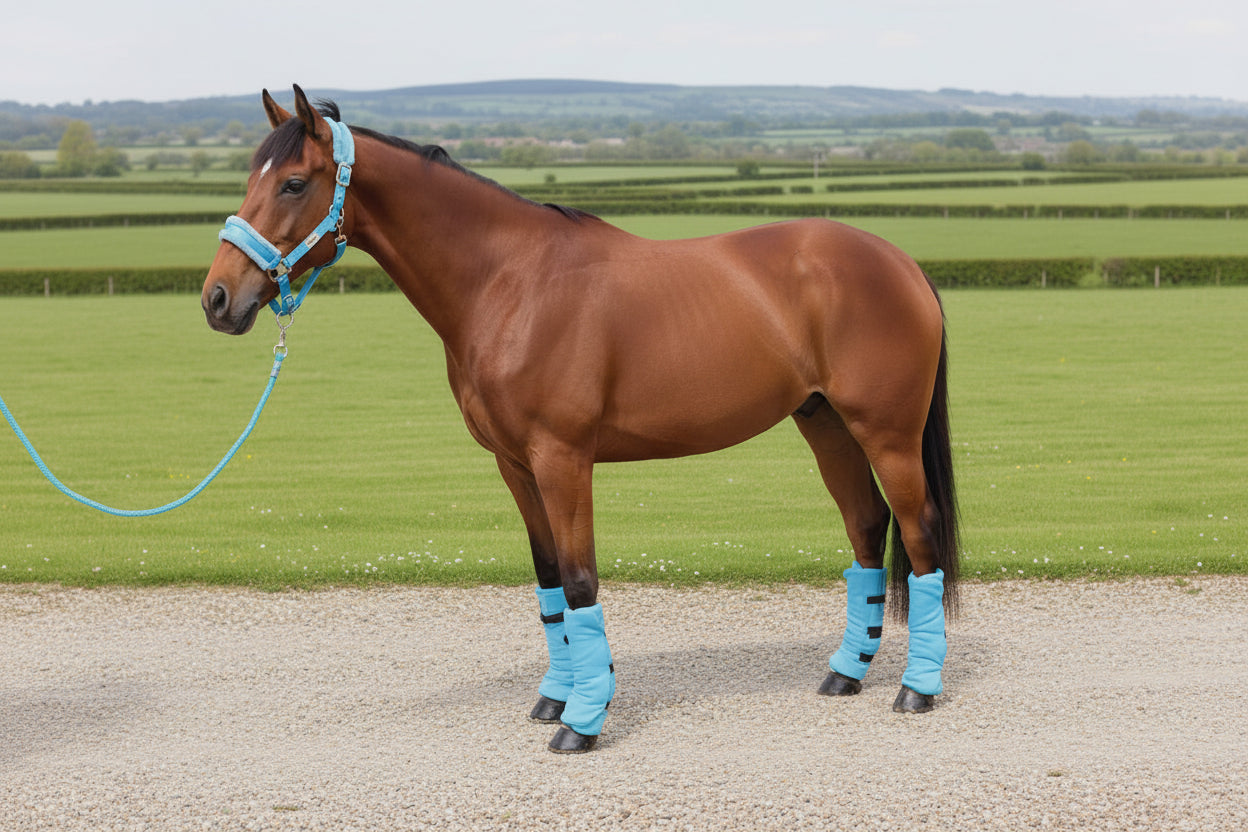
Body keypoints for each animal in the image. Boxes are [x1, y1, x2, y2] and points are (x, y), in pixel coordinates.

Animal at [203, 86, 960, 754]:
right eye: (252, 177)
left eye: (293, 183)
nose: (217, 298)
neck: (510, 282)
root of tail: (901, 262)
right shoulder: (514, 464)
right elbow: (547, 581)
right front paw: (556, 696)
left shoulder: (562, 459)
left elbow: (579, 579)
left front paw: (584, 720)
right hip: (824, 423)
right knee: (866, 526)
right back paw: (845, 673)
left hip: (886, 434)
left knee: (918, 536)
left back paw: (917, 689)